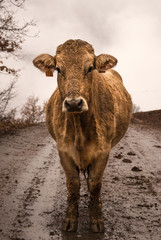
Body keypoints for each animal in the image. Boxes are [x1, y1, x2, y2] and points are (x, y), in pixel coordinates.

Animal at [32, 39, 132, 232]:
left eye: (90, 67)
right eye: (58, 69)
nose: (73, 103)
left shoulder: (103, 151)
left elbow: (95, 183)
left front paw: (96, 220)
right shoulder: (64, 151)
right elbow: (73, 184)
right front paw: (70, 220)